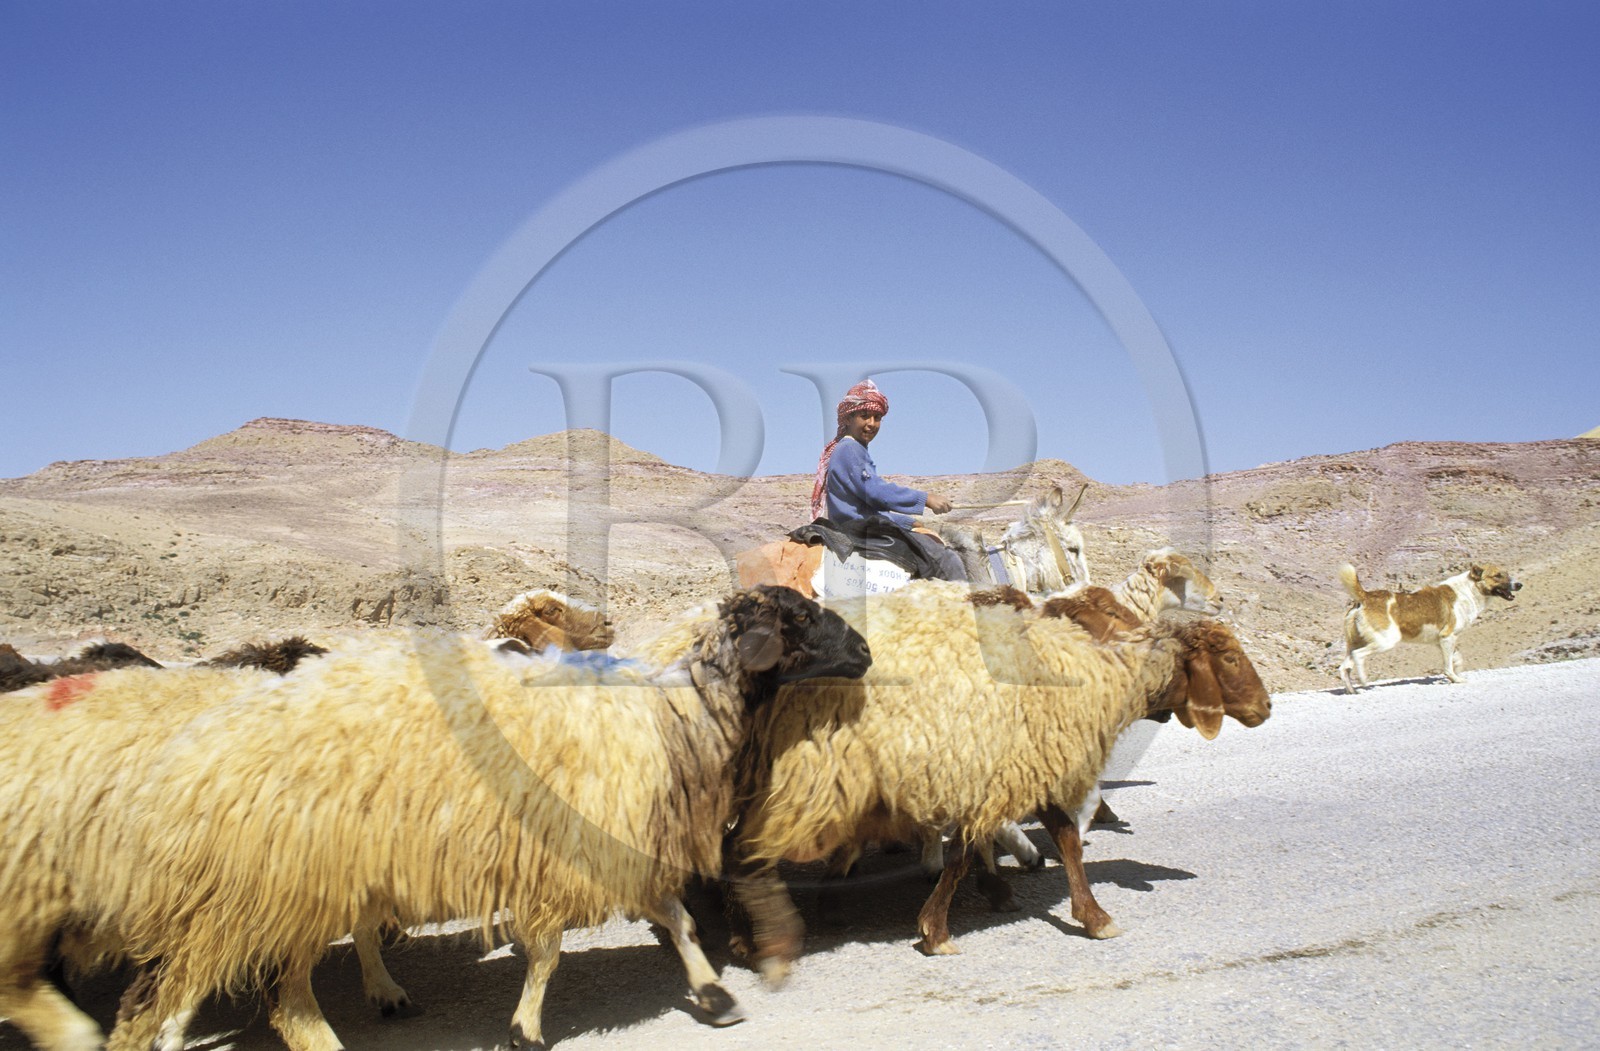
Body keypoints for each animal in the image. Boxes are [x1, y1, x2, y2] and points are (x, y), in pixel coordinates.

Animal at [0, 586, 870, 1051]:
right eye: (798, 618)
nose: (863, 651)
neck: (666, 714)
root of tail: (208, 741)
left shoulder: (611, 840)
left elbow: (677, 920)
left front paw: (715, 995)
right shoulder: (562, 849)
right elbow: (549, 950)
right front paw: (525, 1027)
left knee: (248, 985)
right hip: (269, 880)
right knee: (198, 989)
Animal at [722, 579, 1271, 978]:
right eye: (1227, 657)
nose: (1266, 707)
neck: (1087, 670)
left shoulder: (1021, 762)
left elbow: (1065, 840)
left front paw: (1091, 914)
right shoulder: (985, 770)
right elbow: (966, 854)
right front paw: (936, 930)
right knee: (741, 854)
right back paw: (751, 938)